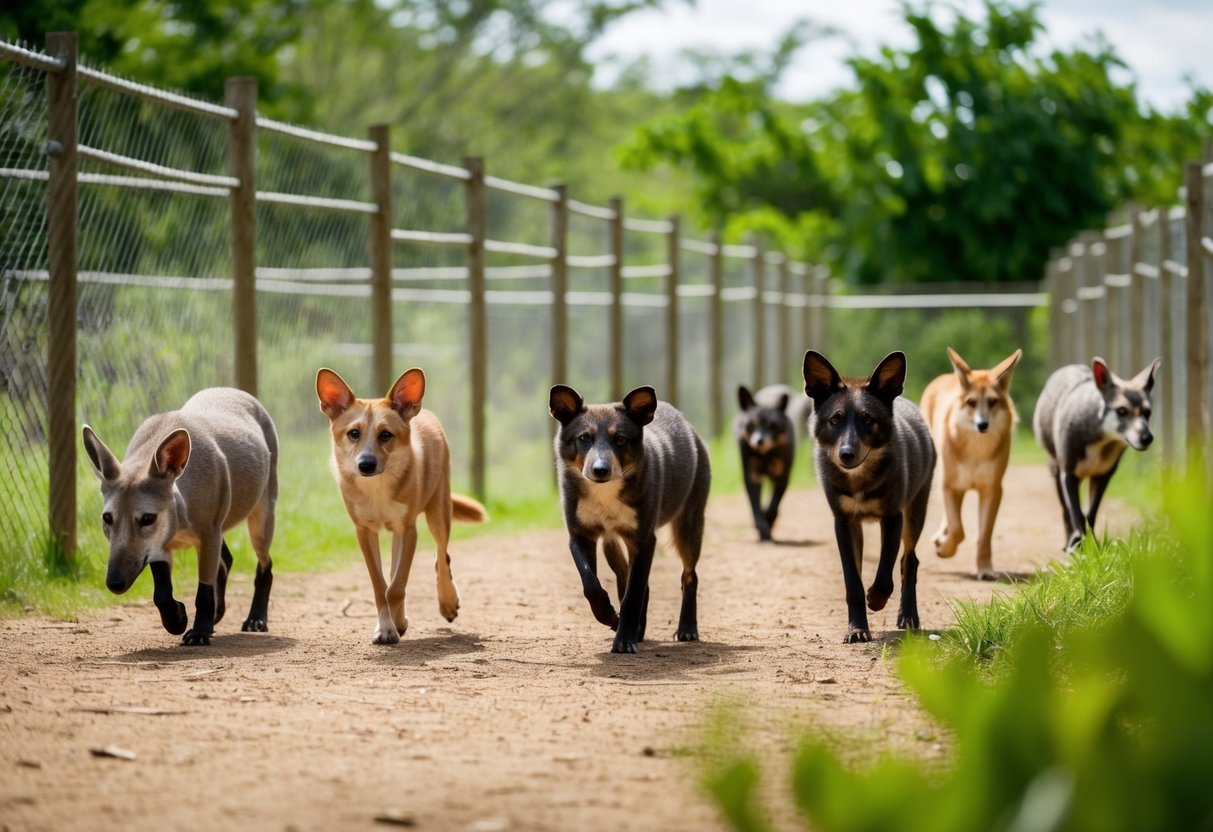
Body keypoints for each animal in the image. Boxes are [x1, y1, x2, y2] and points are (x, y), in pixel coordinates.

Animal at [317, 368, 487, 650]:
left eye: (386, 435)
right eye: (354, 433)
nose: (366, 464)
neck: (377, 488)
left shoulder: (408, 529)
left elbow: (396, 587)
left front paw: (393, 625)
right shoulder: (364, 531)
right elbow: (381, 585)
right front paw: (387, 627)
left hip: (439, 510)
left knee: (442, 556)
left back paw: (447, 602)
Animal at [550, 388, 708, 654]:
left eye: (620, 439)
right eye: (584, 438)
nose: (600, 469)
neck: (605, 494)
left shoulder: (643, 538)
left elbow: (633, 593)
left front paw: (624, 640)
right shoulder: (581, 533)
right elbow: (591, 583)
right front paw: (609, 616)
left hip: (690, 519)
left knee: (689, 574)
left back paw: (687, 629)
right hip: (612, 542)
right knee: (627, 576)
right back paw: (637, 628)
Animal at [732, 383, 810, 540]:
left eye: (772, 425)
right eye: (751, 424)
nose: (759, 441)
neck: (765, 457)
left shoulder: (782, 476)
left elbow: (774, 505)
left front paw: (768, 521)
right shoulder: (752, 476)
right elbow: (756, 508)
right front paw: (762, 528)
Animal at [805, 351, 936, 645]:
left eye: (867, 419)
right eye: (835, 420)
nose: (846, 454)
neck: (859, 481)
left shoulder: (893, 517)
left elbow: (886, 572)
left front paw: (876, 599)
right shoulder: (844, 523)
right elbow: (853, 582)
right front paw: (856, 629)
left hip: (916, 511)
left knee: (909, 561)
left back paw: (908, 617)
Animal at [917, 349, 1023, 584]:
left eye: (992, 402)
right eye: (972, 402)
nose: (982, 425)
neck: (976, 452)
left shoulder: (992, 490)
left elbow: (983, 536)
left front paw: (985, 569)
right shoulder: (949, 485)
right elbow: (958, 529)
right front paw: (945, 549)